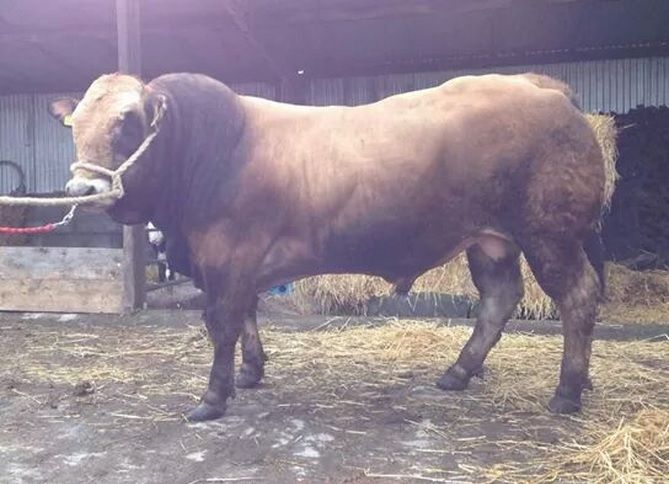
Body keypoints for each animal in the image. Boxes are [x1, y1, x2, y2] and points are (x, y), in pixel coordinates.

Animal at [50, 71, 613, 422]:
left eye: (126, 119)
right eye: (76, 124)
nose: (80, 188)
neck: (210, 149)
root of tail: (540, 85)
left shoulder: (228, 256)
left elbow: (222, 322)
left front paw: (212, 398)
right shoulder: (238, 264)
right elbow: (246, 315)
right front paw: (251, 372)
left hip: (550, 235)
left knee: (578, 296)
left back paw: (567, 391)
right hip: (490, 240)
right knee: (499, 298)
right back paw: (457, 373)